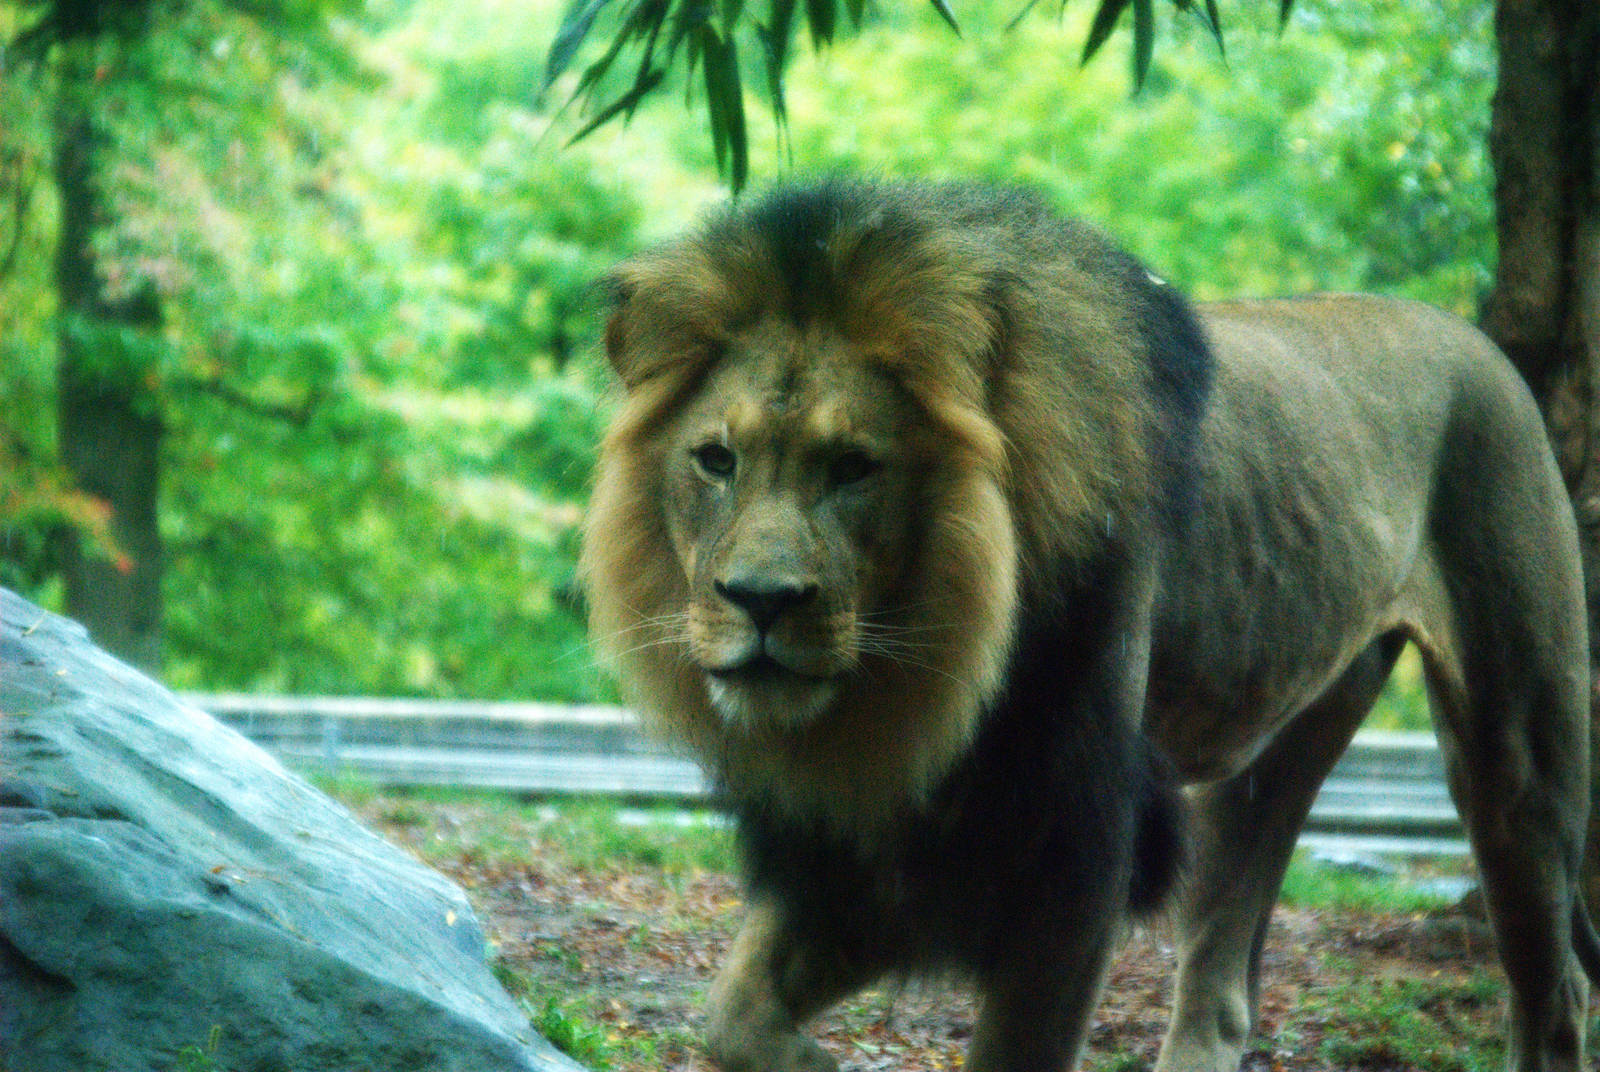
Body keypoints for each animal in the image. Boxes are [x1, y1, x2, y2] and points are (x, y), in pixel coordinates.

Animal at [580, 178, 1600, 1072]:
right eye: (716, 460)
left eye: (854, 468)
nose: (760, 599)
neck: (925, 680)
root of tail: (1475, 338)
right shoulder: (882, 850)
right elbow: (731, 1015)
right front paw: (810, 1057)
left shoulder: (1071, 852)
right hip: (1259, 760)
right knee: (1222, 992)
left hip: (1518, 754)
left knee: (1559, 991)